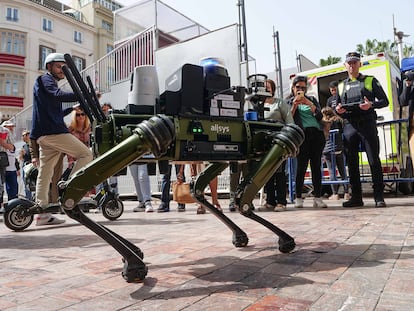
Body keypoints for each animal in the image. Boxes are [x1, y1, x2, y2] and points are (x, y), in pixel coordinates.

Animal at [3, 55, 304, 282]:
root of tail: (104, 124)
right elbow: (243, 201)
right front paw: (284, 239)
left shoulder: (228, 153)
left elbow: (203, 190)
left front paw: (242, 235)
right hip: (151, 135)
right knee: (70, 193)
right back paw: (133, 263)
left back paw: (134, 251)